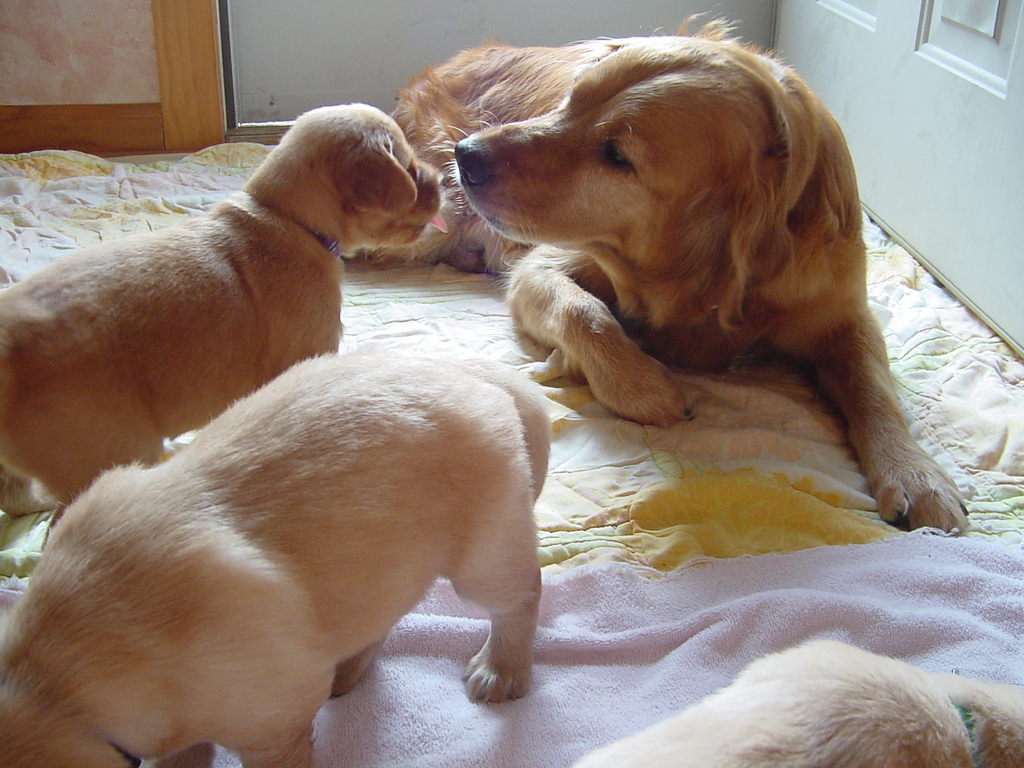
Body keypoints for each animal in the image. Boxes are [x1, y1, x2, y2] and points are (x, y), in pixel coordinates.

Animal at [0, 103, 438, 518]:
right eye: (409, 167)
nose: (441, 179)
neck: (286, 215)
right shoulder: (309, 352)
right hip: (108, 447)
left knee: (15, 497)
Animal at [0, 350, 552, 768]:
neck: (52, 684)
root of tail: (473, 371)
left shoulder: (273, 713)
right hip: (384, 560)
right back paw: (350, 667)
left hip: (483, 552)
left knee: (522, 594)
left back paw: (500, 669)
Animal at [374, 27, 966, 536]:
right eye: (571, 100)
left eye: (617, 155)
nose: (466, 155)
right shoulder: (541, 267)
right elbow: (585, 310)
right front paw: (643, 386)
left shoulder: (843, 314)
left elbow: (873, 389)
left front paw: (917, 473)